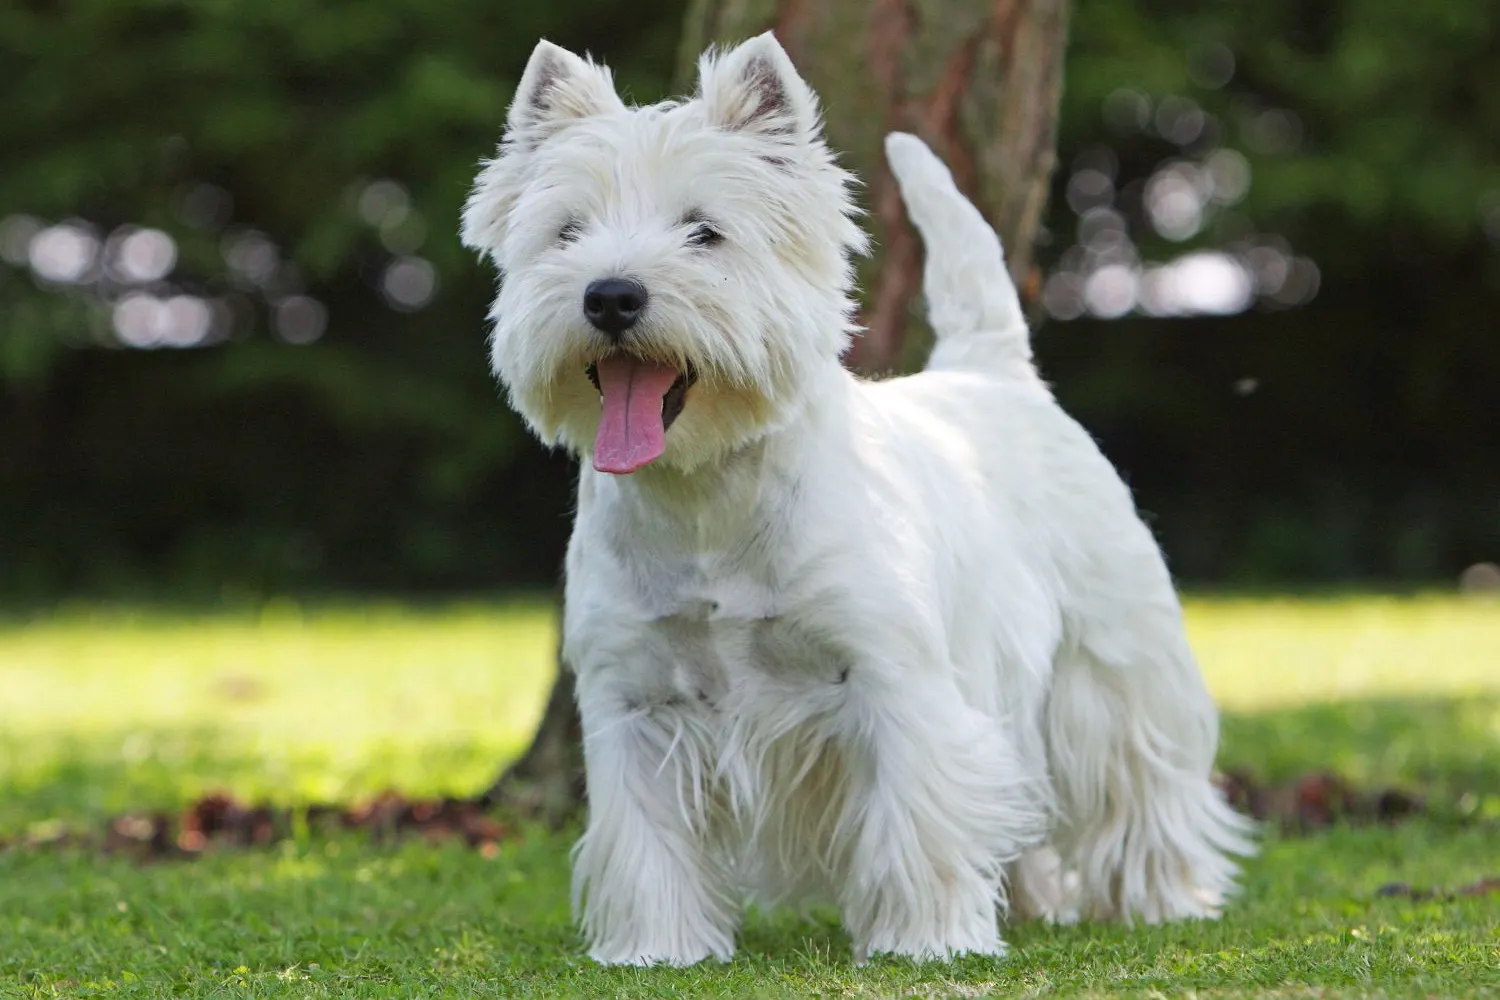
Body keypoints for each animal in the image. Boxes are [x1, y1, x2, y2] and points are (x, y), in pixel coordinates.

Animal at [459, 35, 1254, 965]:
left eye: (705, 231)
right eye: (568, 232)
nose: (610, 295)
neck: (705, 498)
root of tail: (992, 371)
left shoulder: (893, 678)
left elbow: (921, 813)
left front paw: (930, 940)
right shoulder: (634, 697)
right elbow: (647, 837)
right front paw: (657, 949)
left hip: (1111, 658)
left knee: (1140, 778)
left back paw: (1166, 898)